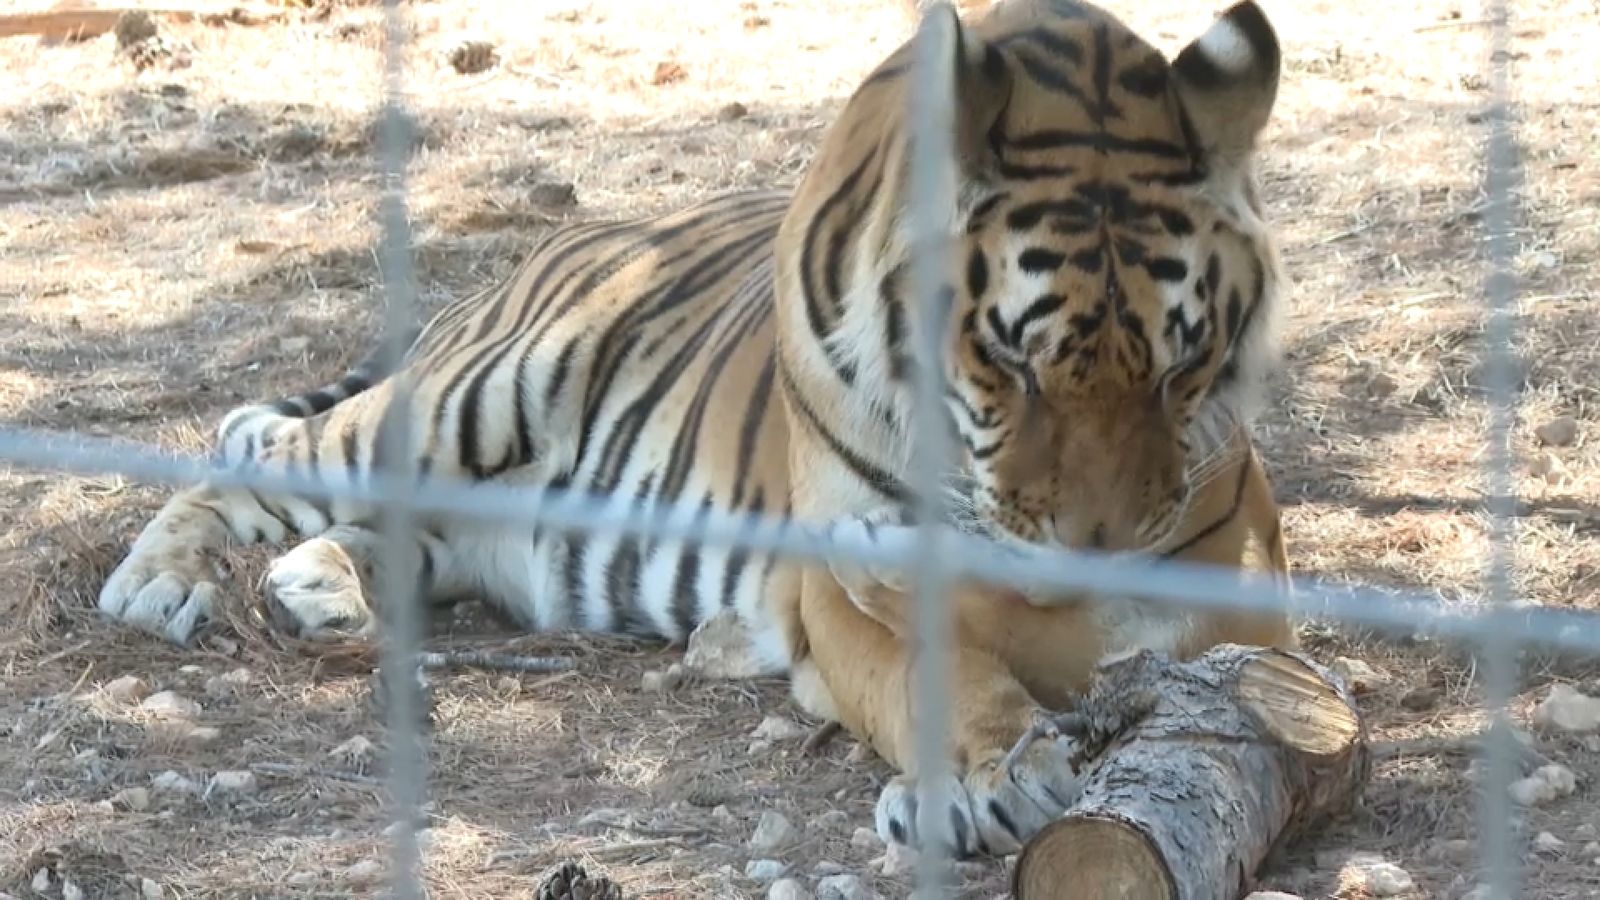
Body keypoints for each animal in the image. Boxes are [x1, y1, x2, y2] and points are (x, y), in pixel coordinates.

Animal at [96, 0, 1293, 857]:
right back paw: (160, 583)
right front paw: (984, 781)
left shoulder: (1238, 589)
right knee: (255, 461)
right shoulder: (845, 587)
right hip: (466, 398)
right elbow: (936, 670)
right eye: (1008, 362)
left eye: (1182, 365)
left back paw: (321, 587)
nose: (1087, 549)